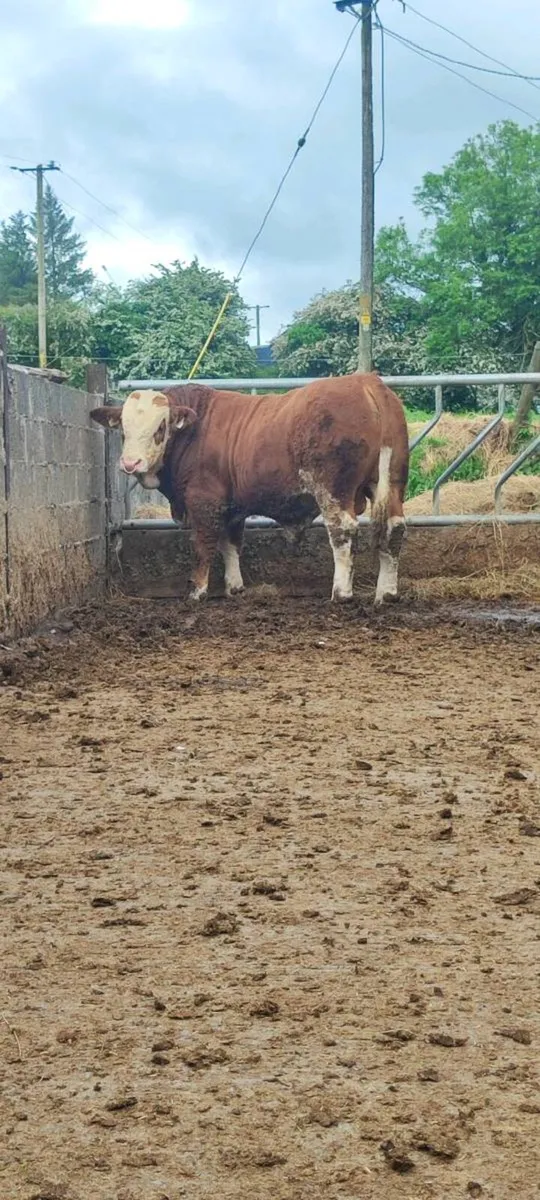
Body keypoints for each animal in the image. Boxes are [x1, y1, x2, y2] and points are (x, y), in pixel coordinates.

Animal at [91, 374, 409, 605]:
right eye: (123, 429)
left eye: (160, 427)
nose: (130, 463)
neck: (194, 431)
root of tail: (365, 381)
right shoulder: (231, 507)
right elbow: (230, 544)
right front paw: (235, 587)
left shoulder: (204, 502)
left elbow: (203, 546)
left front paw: (197, 591)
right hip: (392, 483)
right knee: (394, 529)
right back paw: (387, 593)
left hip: (333, 490)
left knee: (342, 531)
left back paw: (341, 593)